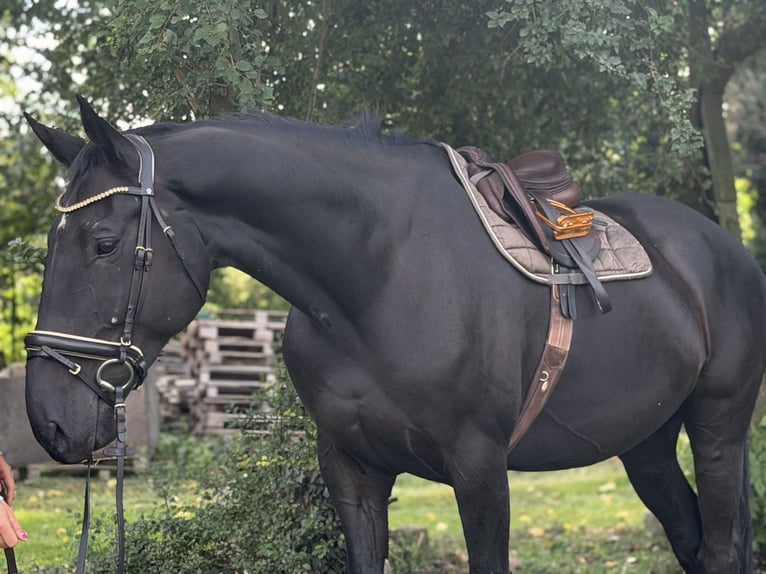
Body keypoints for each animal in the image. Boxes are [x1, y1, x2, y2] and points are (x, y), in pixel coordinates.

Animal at [23, 96, 766, 574]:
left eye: (104, 243)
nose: (50, 421)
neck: (378, 276)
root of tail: (718, 246)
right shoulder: (352, 470)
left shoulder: (479, 468)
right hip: (646, 443)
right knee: (692, 541)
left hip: (718, 427)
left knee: (720, 547)